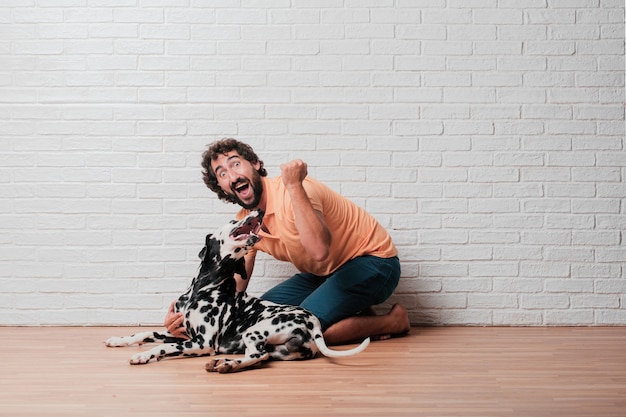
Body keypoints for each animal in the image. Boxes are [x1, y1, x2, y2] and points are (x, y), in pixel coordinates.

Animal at [102, 210, 366, 372]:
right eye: (231, 221)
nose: (259, 210)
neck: (202, 289)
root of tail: (314, 322)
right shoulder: (183, 335)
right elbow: (145, 333)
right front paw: (118, 340)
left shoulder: (202, 343)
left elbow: (164, 346)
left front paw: (145, 355)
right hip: (276, 349)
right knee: (260, 357)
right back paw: (226, 362)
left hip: (254, 331)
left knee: (257, 356)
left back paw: (226, 365)